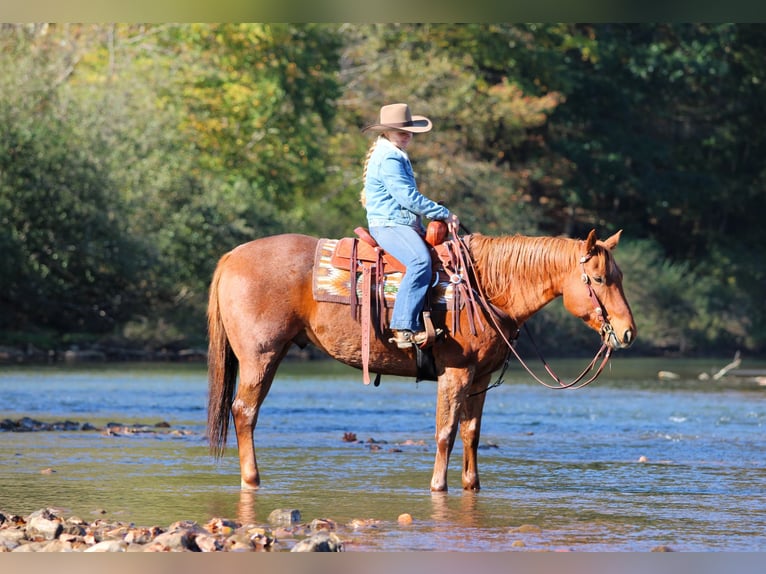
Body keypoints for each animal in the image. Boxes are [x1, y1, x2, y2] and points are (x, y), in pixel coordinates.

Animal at [207, 228, 636, 492]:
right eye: (599, 280)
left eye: (620, 277)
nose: (628, 332)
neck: (483, 288)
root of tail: (231, 256)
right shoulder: (456, 373)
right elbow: (445, 432)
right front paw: (438, 486)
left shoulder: (480, 378)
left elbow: (471, 433)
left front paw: (471, 486)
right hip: (261, 356)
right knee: (244, 412)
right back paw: (252, 479)